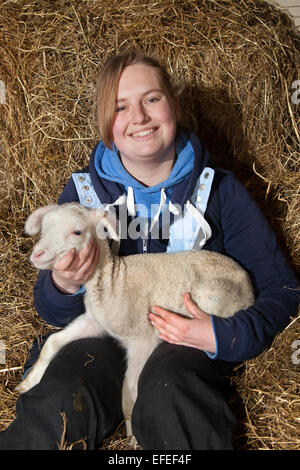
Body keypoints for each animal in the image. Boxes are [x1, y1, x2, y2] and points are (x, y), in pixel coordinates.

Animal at [16, 203, 255, 436]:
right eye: (44, 227)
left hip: (215, 296)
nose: (37, 255)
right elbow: (52, 342)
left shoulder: (142, 341)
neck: (112, 280)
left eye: (77, 232)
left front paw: (131, 433)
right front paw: (29, 381)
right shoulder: (96, 323)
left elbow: (129, 390)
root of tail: (250, 286)